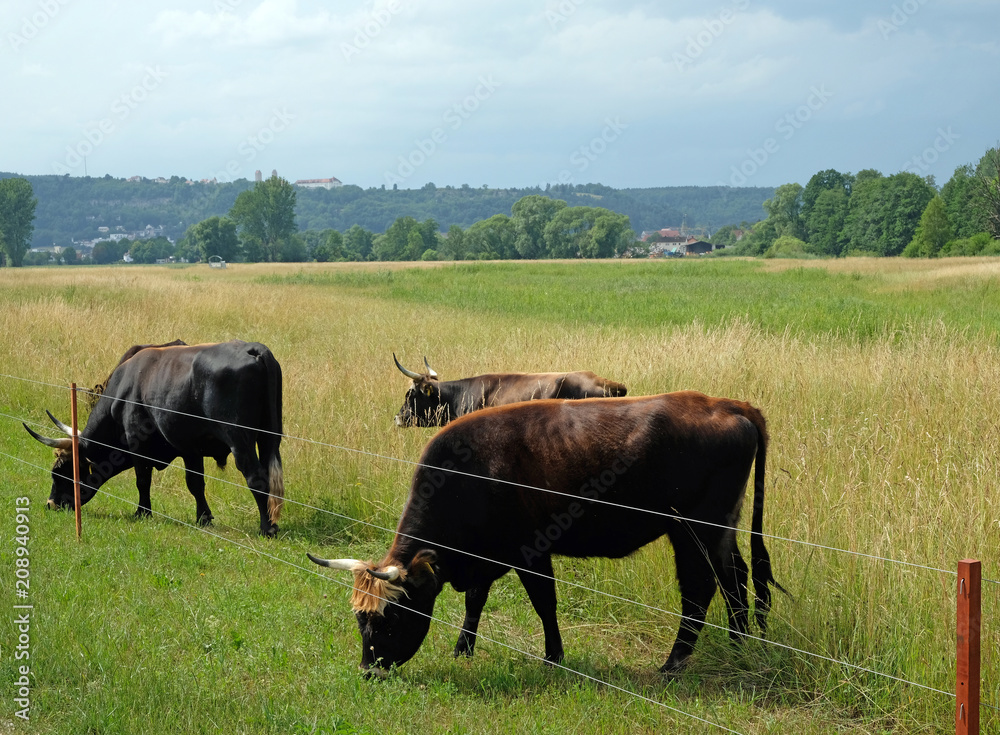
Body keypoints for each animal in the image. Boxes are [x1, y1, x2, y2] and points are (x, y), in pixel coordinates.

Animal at [22, 340, 286, 536]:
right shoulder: (190, 449)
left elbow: (142, 480)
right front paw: (203, 517)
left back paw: (267, 528)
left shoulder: (137, 445)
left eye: (60, 472)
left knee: (256, 477)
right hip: (269, 438)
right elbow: (195, 483)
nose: (51, 504)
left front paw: (142, 512)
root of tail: (254, 349)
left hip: (240, 441)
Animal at [308, 392, 784, 680]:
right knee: (736, 579)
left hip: (693, 532)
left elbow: (544, 602)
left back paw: (673, 664)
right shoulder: (485, 556)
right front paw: (464, 649)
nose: (370, 671)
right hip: (721, 530)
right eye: (360, 620)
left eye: (391, 617)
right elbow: (475, 600)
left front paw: (553, 657)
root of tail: (730, 404)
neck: (466, 473)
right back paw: (739, 646)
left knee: (700, 591)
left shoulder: (530, 551)